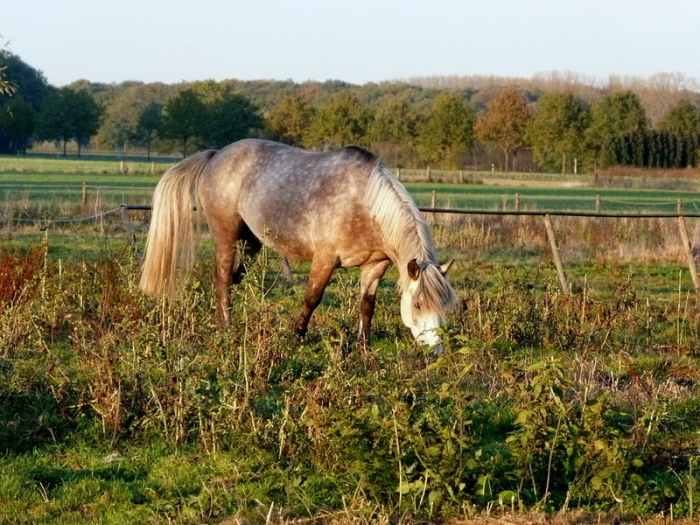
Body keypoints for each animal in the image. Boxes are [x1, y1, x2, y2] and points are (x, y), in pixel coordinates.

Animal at [139, 139, 455, 350]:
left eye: (444, 306)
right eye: (418, 304)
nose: (435, 350)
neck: (363, 203)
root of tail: (216, 155)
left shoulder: (375, 265)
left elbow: (367, 305)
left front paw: (364, 348)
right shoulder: (325, 258)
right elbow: (312, 297)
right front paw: (297, 334)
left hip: (251, 241)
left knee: (235, 275)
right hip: (225, 235)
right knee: (222, 278)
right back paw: (225, 326)